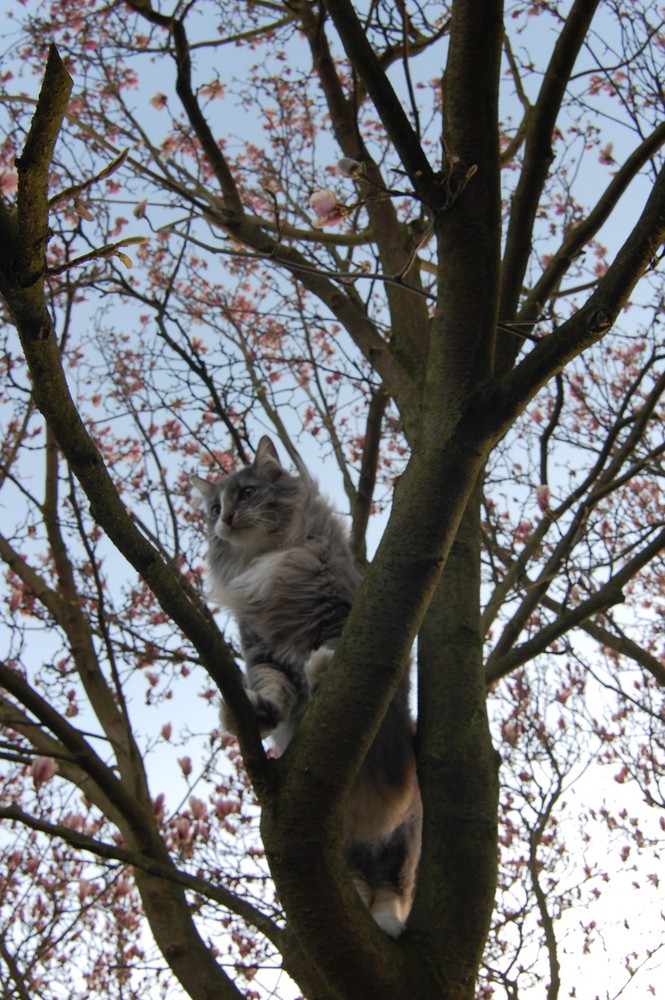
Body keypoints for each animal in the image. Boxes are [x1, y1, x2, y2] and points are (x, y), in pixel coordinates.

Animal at [192, 438, 420, 936]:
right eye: (215, 507)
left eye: (247, 493)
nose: (225, 519)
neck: (267, 561)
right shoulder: (264, 653)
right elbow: (272, 691)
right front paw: (253, 712)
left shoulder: (340, 619)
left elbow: (331, 656)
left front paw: (322, 667)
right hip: (341, 851)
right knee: (359, 882)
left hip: (401, 834)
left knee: (393, 885)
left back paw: (386, 922)